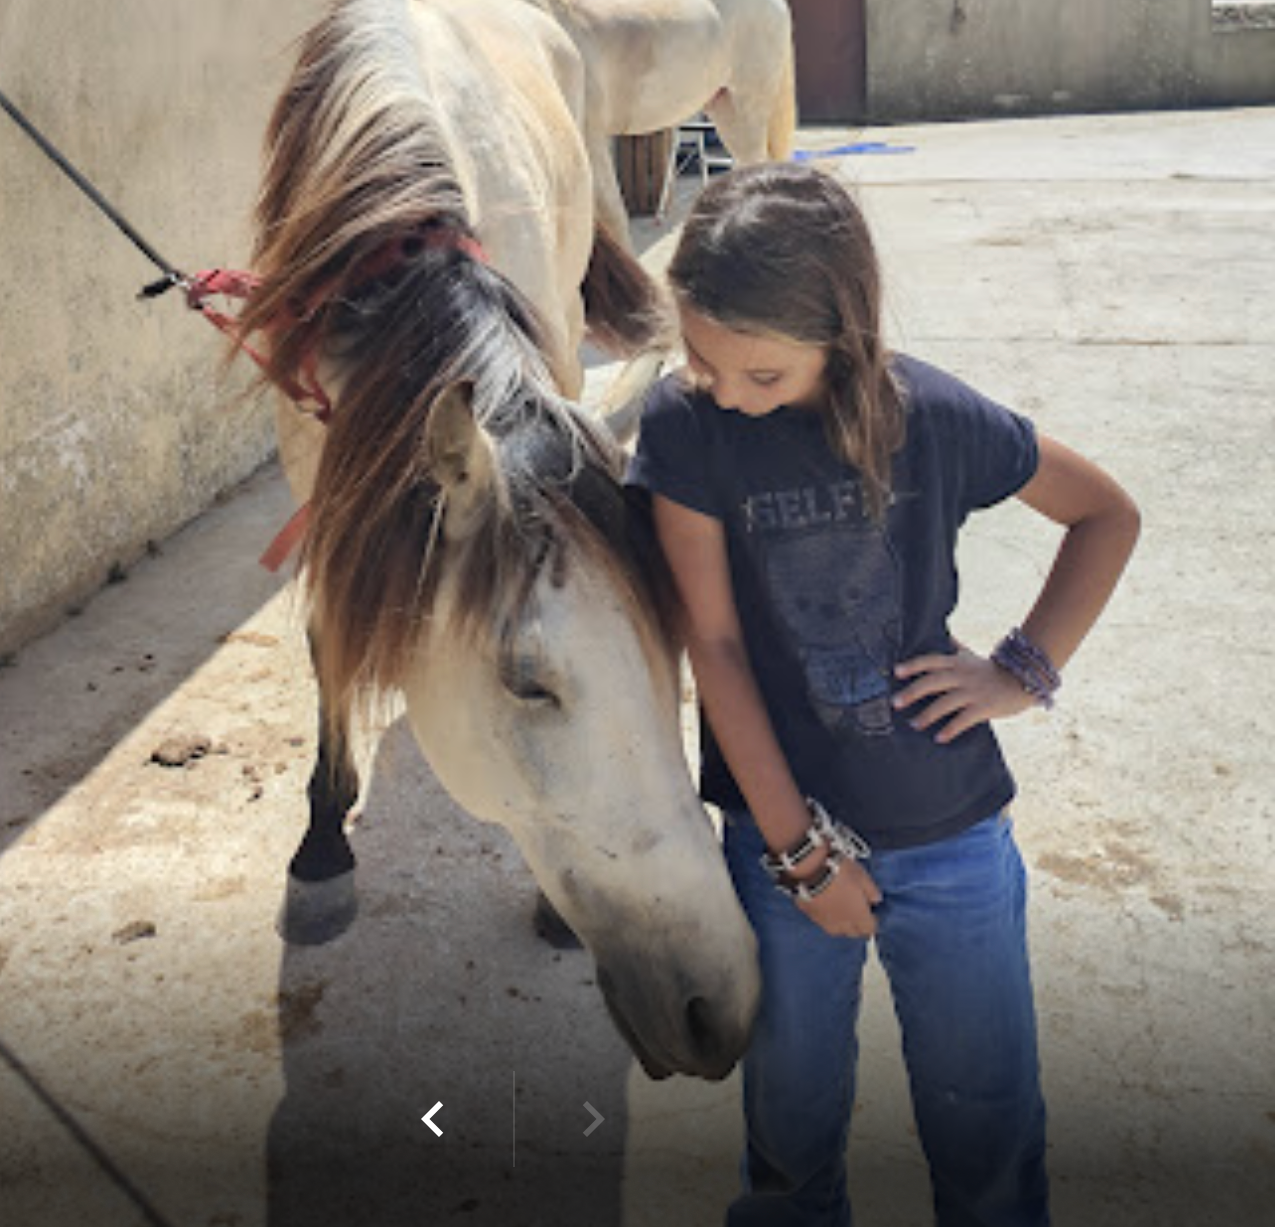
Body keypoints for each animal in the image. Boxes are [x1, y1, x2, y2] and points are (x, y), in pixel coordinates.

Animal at [235, 0, 759, 1081]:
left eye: (674, 655)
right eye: (527, 682)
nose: (718, 1011)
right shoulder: (323, 477)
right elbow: (327, 644)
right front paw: (321, 847)